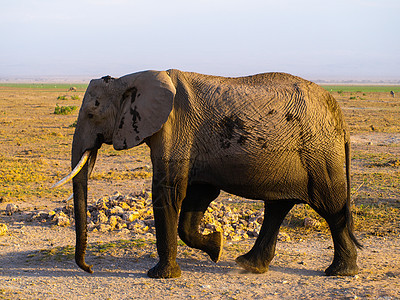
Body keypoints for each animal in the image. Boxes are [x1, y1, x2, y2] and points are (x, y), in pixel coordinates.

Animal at [53, 68, 362, 278]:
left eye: (91, 113)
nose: (90, 268)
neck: (129, 79)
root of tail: (341, 119)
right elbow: (197, 198)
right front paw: (217, 246)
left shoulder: (174, 130)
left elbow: (168, 191)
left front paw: (160, 276)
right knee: (278, 207)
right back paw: (248, 264)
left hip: (320, 153)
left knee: (331, 207)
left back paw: (339, 272)